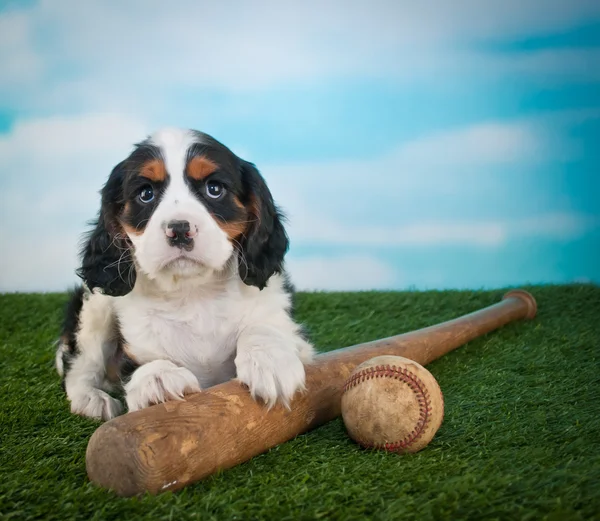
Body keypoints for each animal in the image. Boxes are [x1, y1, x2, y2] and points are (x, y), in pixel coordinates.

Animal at [55, 128, 314, 420]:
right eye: (146, 193)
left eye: (214, 189)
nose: (179, 230)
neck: (193, 291)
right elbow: (142, 362)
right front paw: (158, 380)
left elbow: (263, 327)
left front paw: (270, 360)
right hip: (94, 308)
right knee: (80, 365)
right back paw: (93, 398)